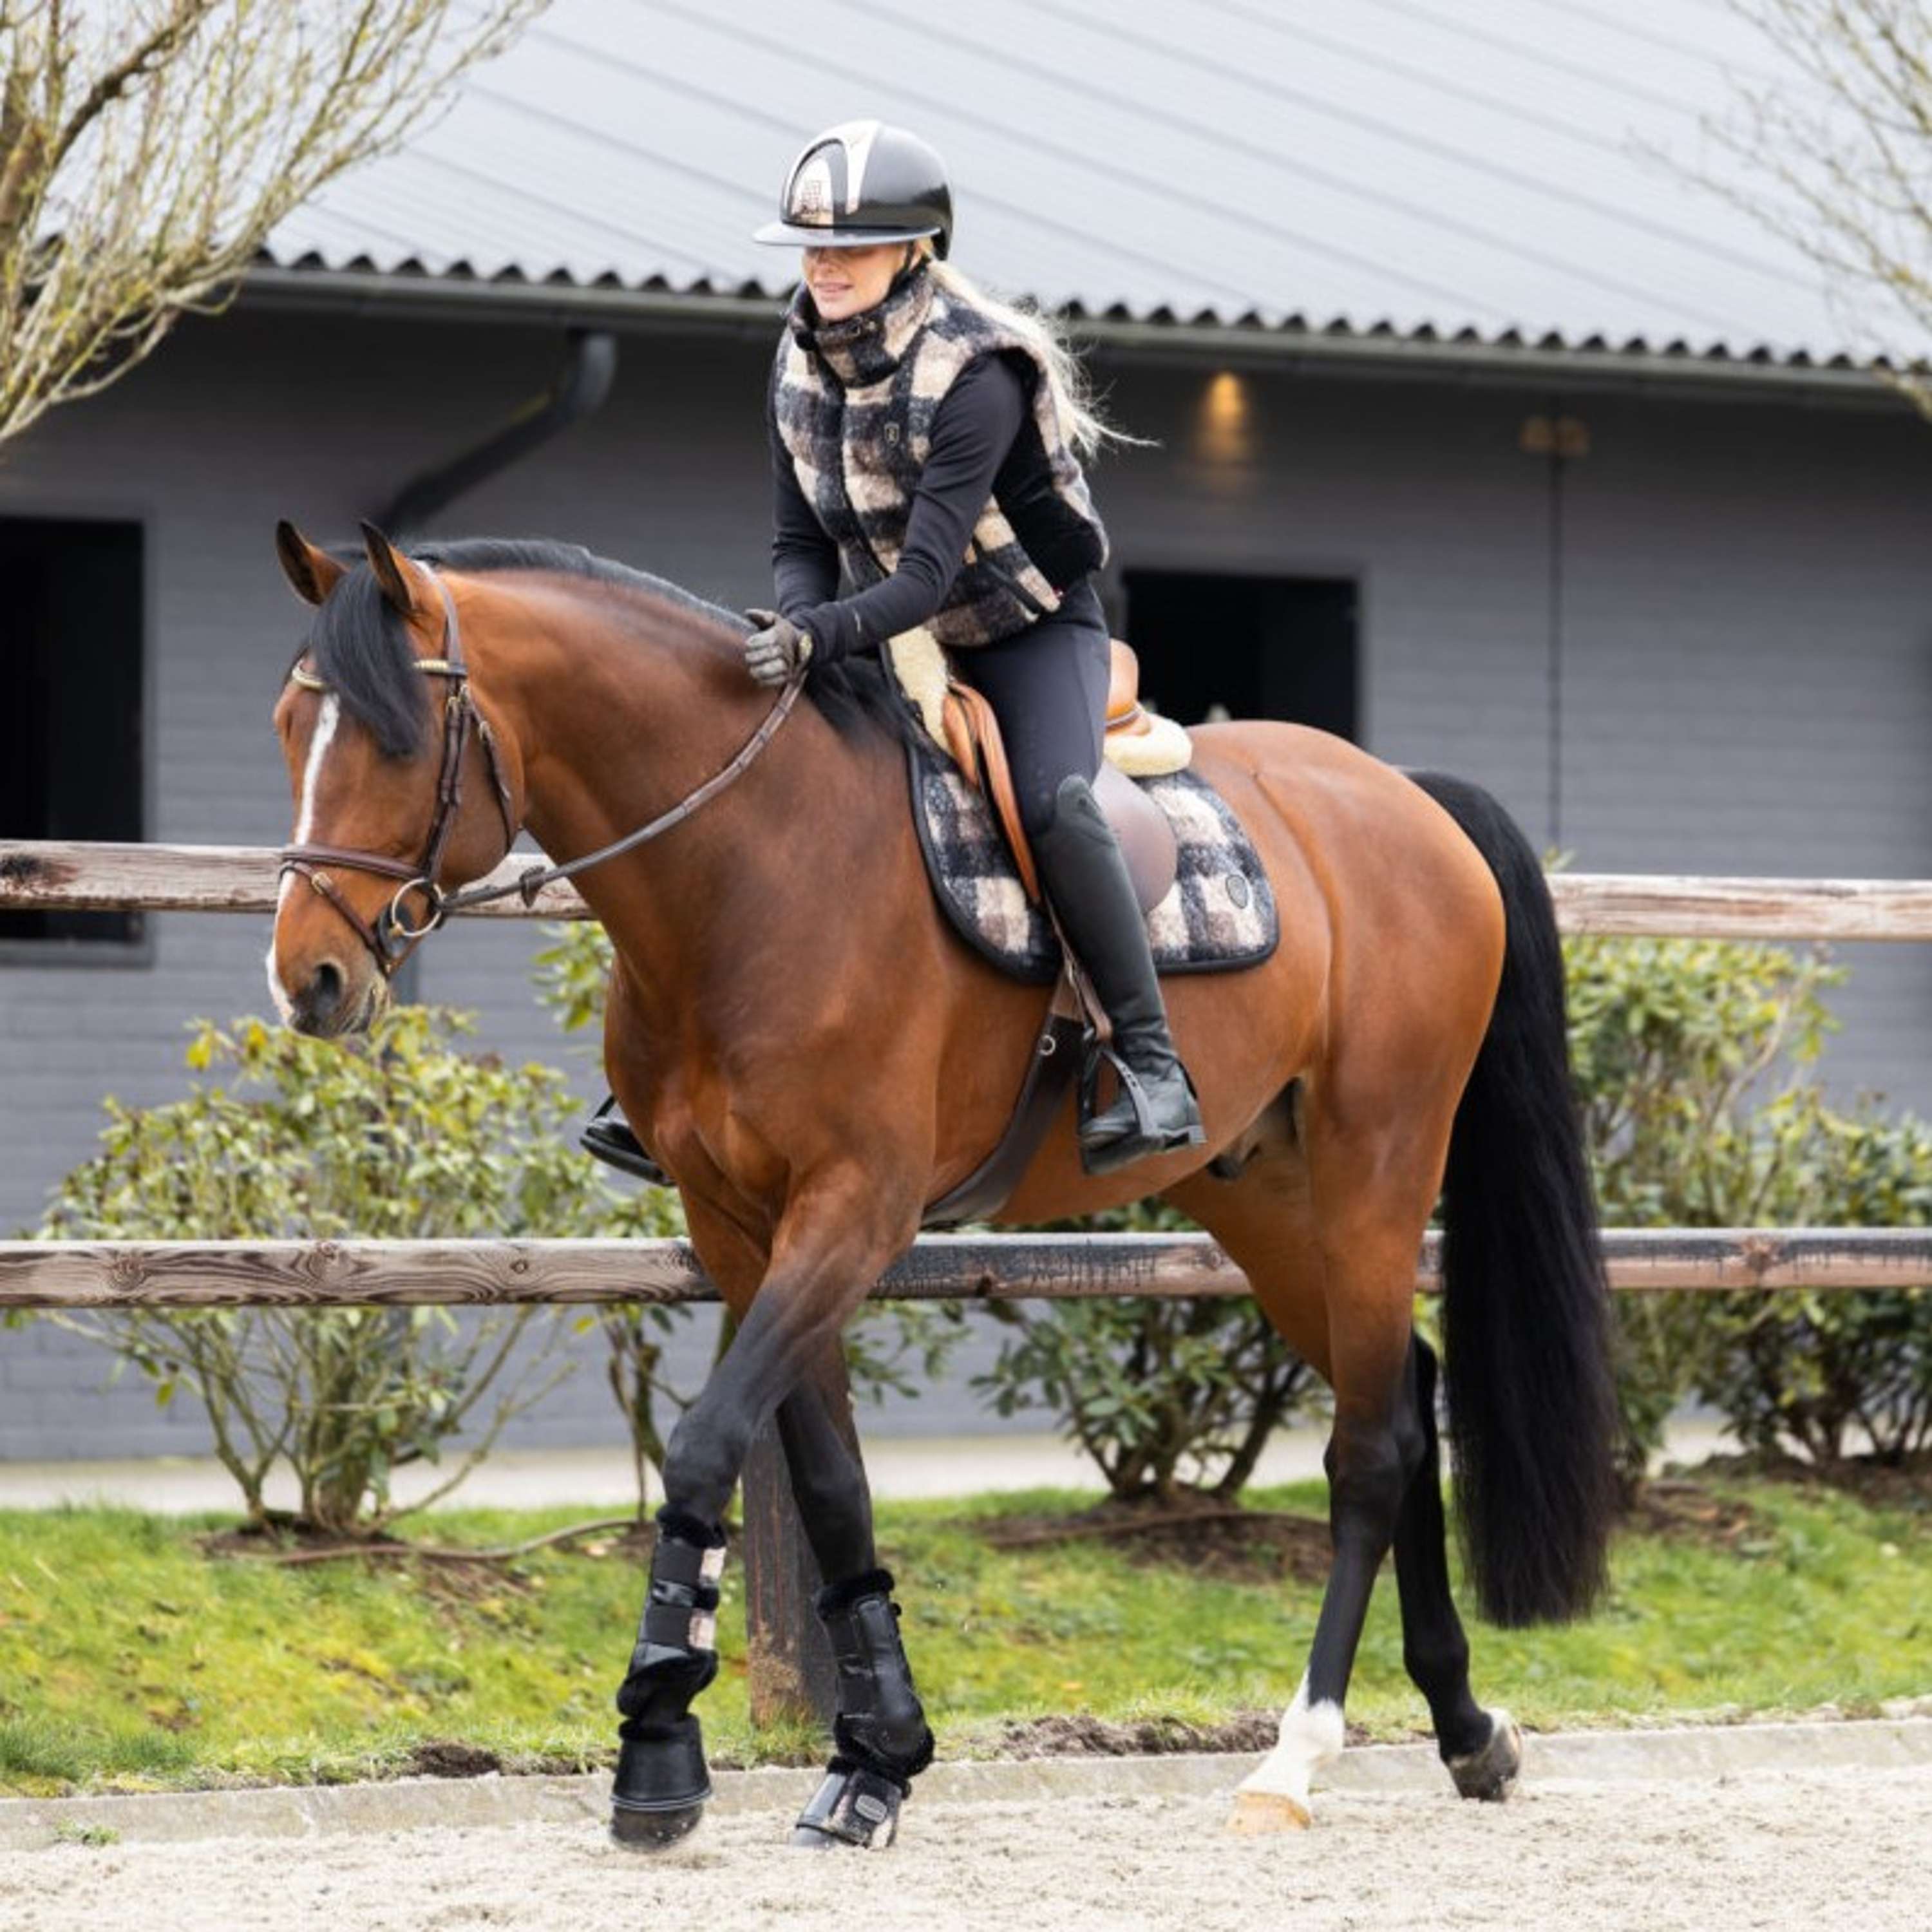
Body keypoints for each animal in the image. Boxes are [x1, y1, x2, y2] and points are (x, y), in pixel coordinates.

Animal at [266, 520, 1617, 1848]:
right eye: (289, 726)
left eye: (396, 738)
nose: (309, 980)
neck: (756, 864)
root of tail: (1409, 798)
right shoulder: (741, 1225)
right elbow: (830, 1485)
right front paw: (877, 1757)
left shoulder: (855, 1210)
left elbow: (708, 1447)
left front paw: (659, 1740)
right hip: (1267, 1198)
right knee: (1403, 1399)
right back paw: (1465, 1728)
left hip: (1375, 1166)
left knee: (1370, 1451)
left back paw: (1296, 1757)